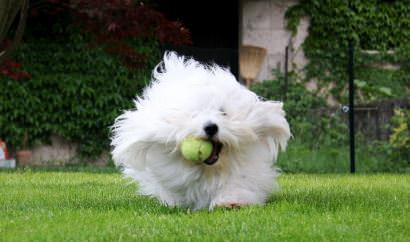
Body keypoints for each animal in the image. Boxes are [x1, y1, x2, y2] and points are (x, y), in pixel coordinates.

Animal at [110, 51, 290, 210]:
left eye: (223, 112)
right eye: (193, 115)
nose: (211, 127)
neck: (209, 171)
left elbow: (236, 185)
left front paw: (230, 201)